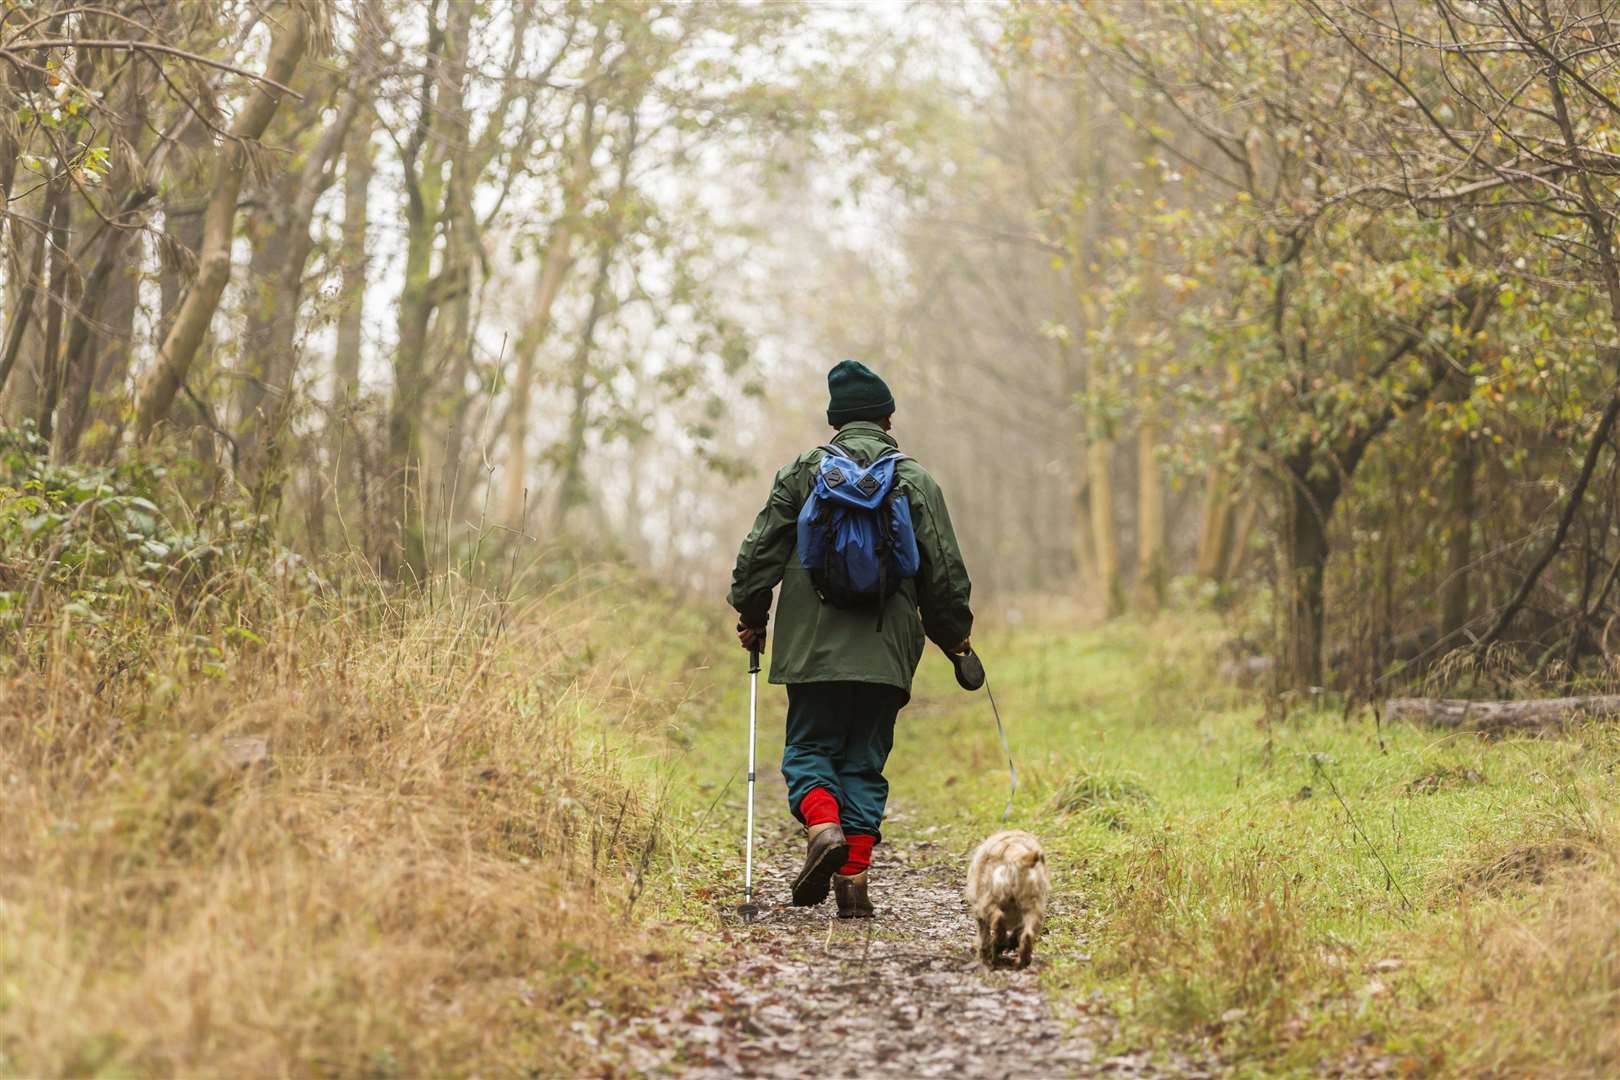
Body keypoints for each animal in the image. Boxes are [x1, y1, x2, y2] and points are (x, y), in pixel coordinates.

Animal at [959, 829, 1049, 971]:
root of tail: (1017, 860)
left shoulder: (980, 912)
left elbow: (983, 936)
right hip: (1034, 908)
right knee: (1027, 934)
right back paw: (1021, 961)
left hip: (989, 900)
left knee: (998, 918)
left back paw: (997, 945)